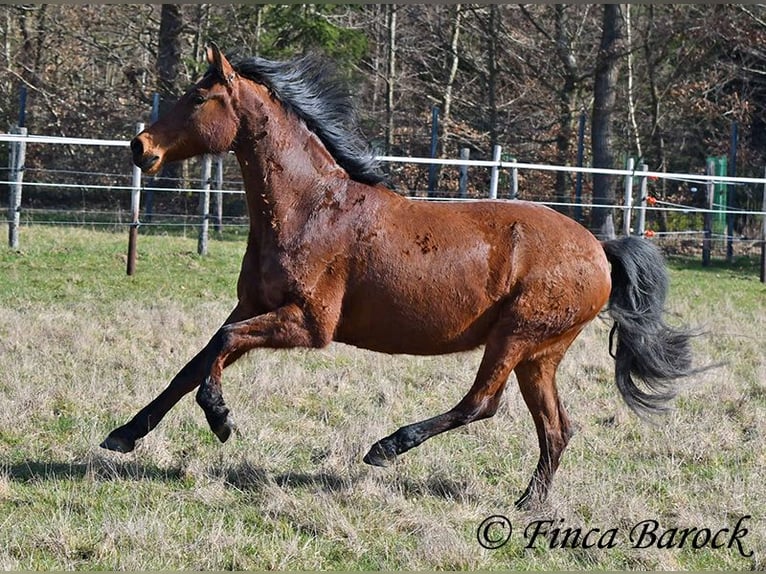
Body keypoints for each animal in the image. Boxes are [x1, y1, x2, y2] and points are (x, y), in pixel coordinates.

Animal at [101, 43, 696, 509]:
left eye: (199, 98)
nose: (140, 147)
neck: (312, 208)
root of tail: (599, 248)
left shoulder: (309, 325)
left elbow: (221, 348)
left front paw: (221, 419)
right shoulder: (253, 306)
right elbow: (194, 364)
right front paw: (123, 436)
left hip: (515, 337)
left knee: (481, 404)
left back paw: (386, 449)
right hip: (540, 355)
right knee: (555, 429)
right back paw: (528, 504)